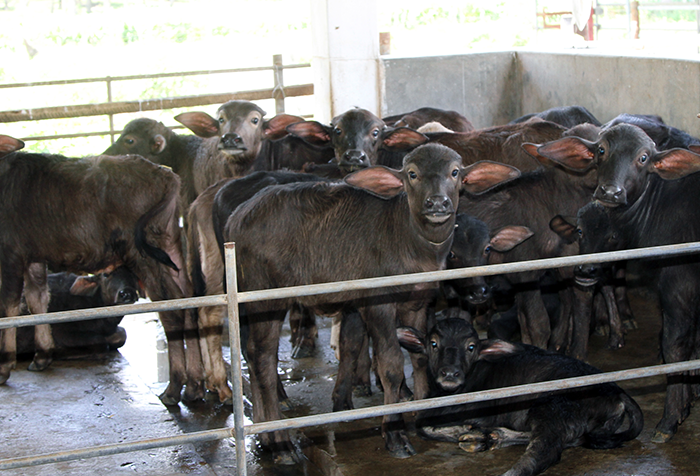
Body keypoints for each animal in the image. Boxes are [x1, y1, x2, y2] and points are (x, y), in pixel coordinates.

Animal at [0, 134, 202, 406]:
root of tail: (164, 175)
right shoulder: (34, 256)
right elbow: (37, 300)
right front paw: (42, 355)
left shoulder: (10, 254)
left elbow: (10, 308)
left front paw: (4, 367)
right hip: (169, 246)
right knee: (189, 302)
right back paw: (194, 387)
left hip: (142, 253)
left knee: (172, 312)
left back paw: (173, 388)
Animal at [224, 143, 520, 462]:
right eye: (412, 174)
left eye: (454, 172)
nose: (437, 203)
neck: (408, 239)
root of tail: (237, 218)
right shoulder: (377, 304)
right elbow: (390, 364)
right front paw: (395, 433)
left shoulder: (417, 302)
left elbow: (418, 355)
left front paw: (421, 407)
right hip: (264, 299)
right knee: (263, 358)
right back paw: (282, 444)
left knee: (252, 353)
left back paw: (265, 436)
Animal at [396, 316, 644, 476]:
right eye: (433, 343)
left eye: (471, 347)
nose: (450, 373)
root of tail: (616, 390)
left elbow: (421, 424)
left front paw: (461, 430)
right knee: (568, 439)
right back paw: (492, 436)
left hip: (554, 407)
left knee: (545, 450)